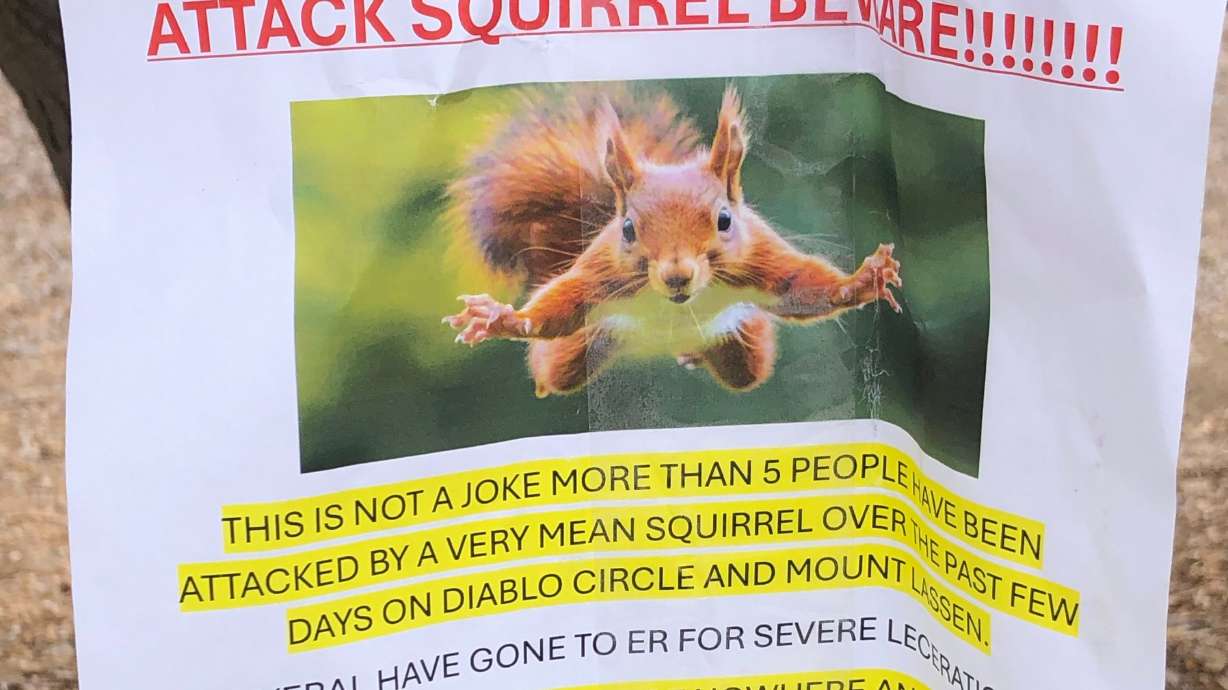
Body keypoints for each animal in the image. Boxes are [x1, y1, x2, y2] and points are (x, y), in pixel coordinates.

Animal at [443, 85, 903, 398]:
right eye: (628, 229)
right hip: (578, 351)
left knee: (746, 369)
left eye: (724, 220)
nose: (677, 275)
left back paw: (695, 354)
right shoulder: (602, 272)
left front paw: (862, 281)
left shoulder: (759, 258)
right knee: (555, 367)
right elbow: (562, 304)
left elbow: (800, 287)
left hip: (742, 350)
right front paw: (503, 318)